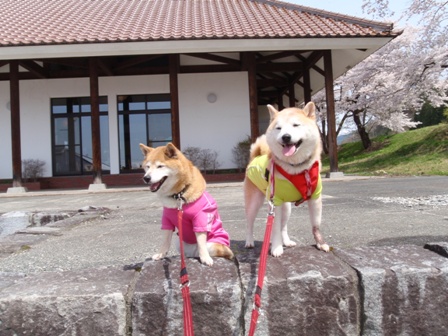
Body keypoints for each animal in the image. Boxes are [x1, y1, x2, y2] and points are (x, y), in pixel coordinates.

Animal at [243, 103, 330, 256]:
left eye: (296, 125)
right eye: (279, 128)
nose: (286, 137)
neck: (297, 168)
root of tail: (256, 156)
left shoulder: (315, 197)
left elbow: (315, 225)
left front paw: (321, 243)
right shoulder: (275, 201)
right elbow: (275, 229)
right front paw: (276, 248)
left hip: (286, 207)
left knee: (284, 226)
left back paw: (287, 241)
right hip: (254, 202)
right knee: (250, 223)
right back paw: (249, 241)